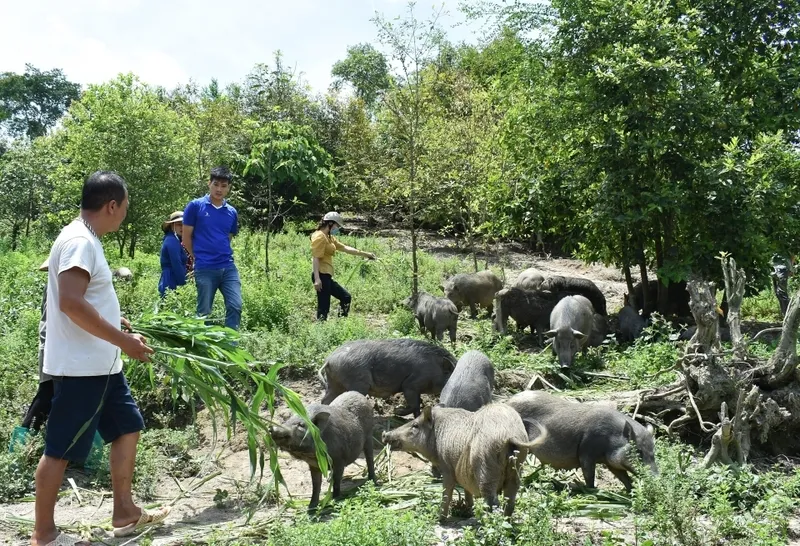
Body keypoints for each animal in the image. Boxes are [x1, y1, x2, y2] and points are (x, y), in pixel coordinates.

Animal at [318, 336, 456, 416]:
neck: (435, 369)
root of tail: (329, 360)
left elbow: (417, 406)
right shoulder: (410, 385)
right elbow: (414, 405)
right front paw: (397, 411)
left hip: (334, 384)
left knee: (325, 400)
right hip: (357, 383)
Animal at [382, 402, 548, 516]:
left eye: (415, 425)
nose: (385, 434)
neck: (437, 436)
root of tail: (509, 434)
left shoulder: (447, 466)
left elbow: (447, 491)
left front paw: (439, 518)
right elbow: (466, 490)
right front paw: (469, 510)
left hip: (486, 468)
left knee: (493, 502)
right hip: (517, 468)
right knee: (510, 500)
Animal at [506, 388, 656, 490]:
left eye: (653, 452)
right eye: (639, 451)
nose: (656, 477)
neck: (610, 438)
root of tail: (509, 401)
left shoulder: (610, 462)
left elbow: (624, 477)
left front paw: (631, 491)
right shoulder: (586, 452)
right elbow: (589, 474)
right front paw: (592, 490)